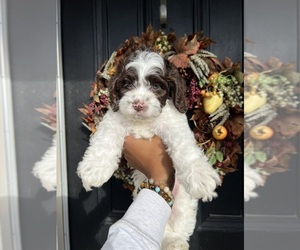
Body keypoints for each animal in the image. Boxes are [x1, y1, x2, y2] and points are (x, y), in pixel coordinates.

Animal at [78, 49, 220, 248]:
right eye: (127, 84)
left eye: (156, 86)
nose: (139, 104)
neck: (143, 122)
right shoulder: (115, 118)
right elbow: (105, 138)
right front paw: (93, 170)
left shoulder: (174, 124)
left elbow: (184, 146)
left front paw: (201, 177)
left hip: (183, 205)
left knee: (179, 226)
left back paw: (176, 243)